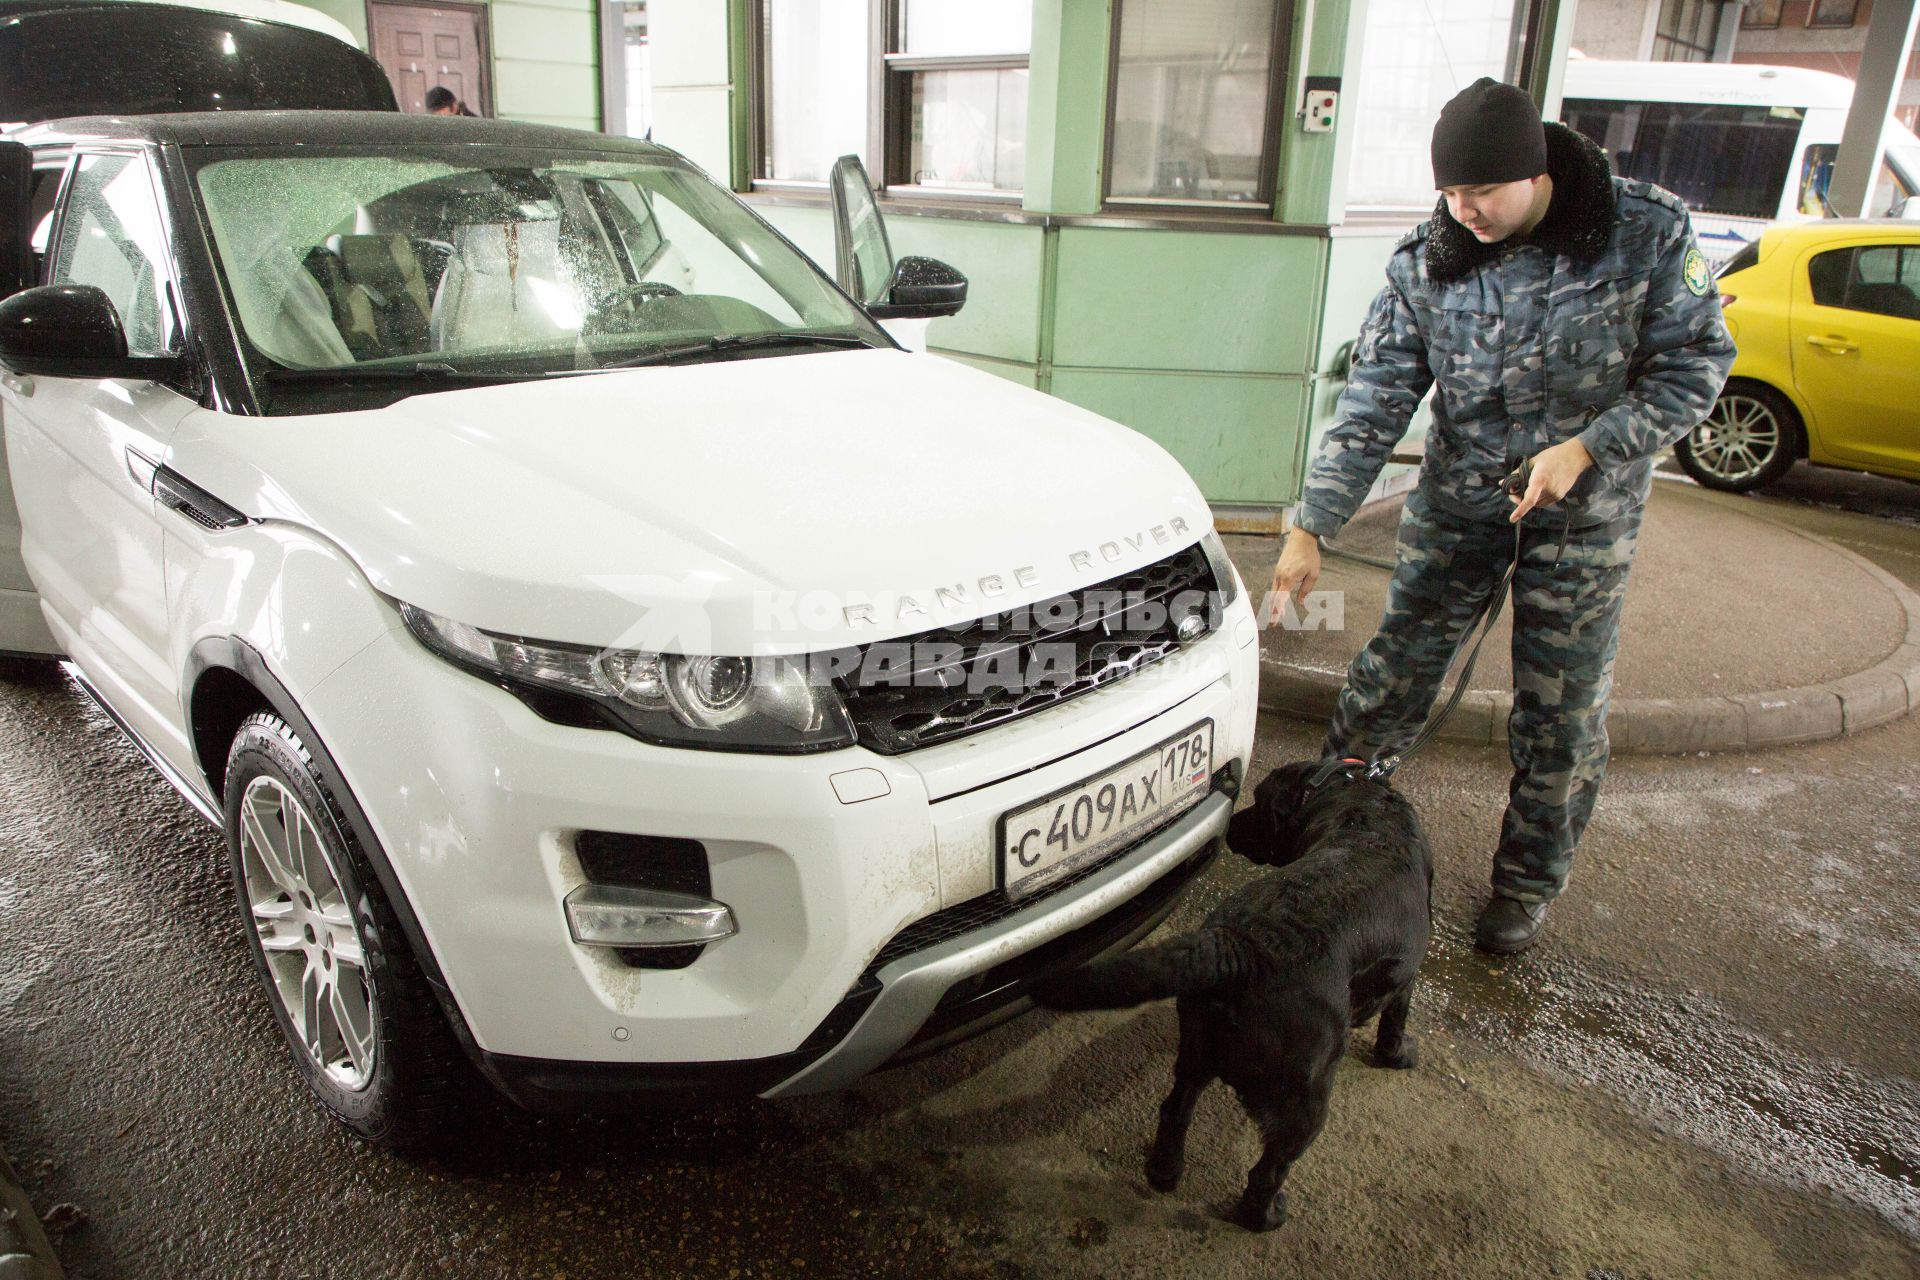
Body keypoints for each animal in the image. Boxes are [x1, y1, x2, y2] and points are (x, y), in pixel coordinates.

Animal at [1036, 759, 1428, 1228]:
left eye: (1259, 804)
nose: (1235, 822)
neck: (1353, 796)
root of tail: (1241, 950)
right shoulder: (1406, 977)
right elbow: (1395, 1021)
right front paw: (1398, 1055)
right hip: (1307, 1097)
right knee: (1268, 1170)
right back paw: (1265, 1216)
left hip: (1196, 1050)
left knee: (1175, 1109)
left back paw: (1164, 1172)